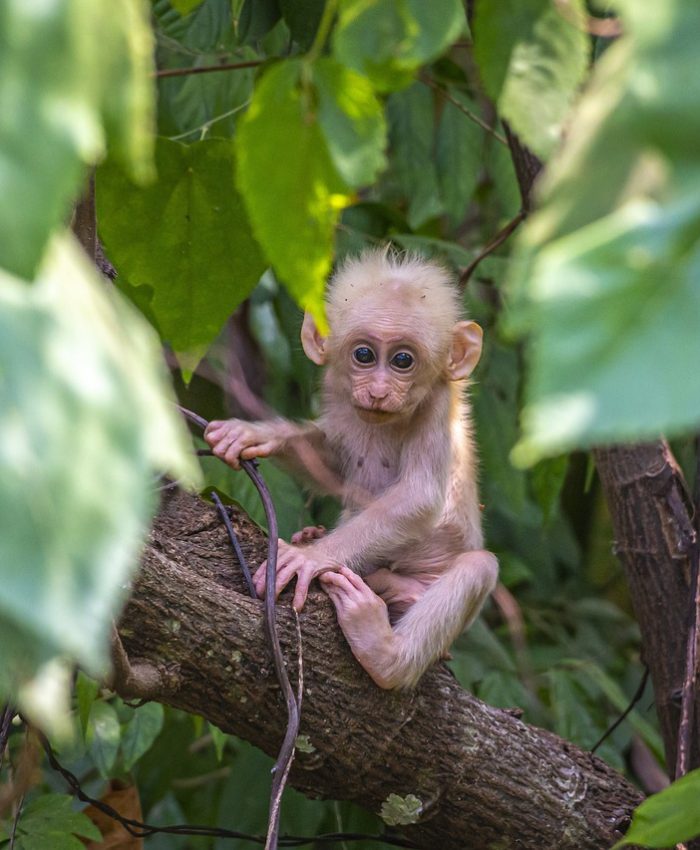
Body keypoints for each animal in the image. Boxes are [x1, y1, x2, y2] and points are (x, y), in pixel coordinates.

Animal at [205, 248, 500, 684]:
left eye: (402, 360)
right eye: (364, 355)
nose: (378, 391)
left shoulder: (437, 405)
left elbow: (420, 496)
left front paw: (311, 558)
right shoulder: (340, 395)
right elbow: (333, 465)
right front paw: (256, 434)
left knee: (479, 565)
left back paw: (384, 652)